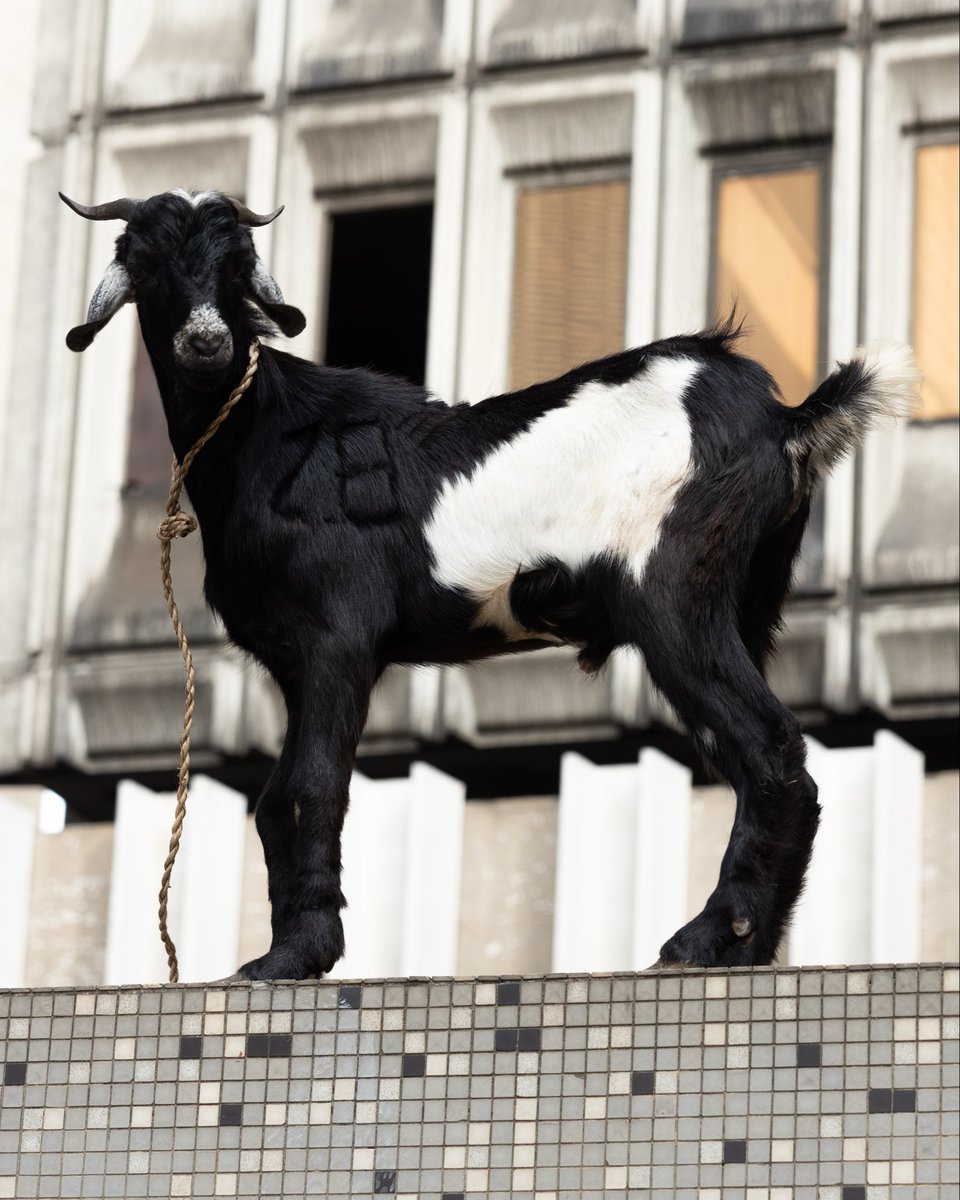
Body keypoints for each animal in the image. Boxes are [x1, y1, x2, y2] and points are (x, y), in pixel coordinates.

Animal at [62, 189, 918, 980]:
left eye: (241, 265)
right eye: (144, 262)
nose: (207, 341)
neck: (265, 430)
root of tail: (783, 416)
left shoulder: (338, 635)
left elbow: (311, 783)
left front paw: (295, 958)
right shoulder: (288, 659)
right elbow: (279, 799)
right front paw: (284, 953)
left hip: (675, 592)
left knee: (766, 746)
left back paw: (702, 942)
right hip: (752, 597)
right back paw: (748, 949)